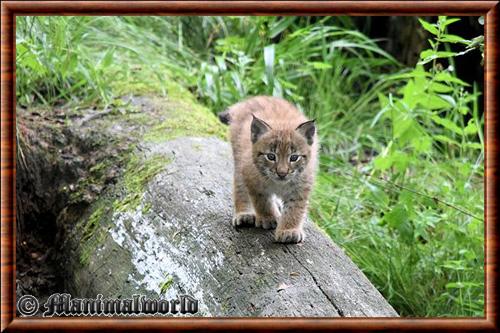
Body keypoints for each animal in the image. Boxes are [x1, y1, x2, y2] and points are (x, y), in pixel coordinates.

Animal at [218, 94, 318, 243]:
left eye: (294, 158)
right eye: (271, 156)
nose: (282, 173)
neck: (279, 183)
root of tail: (259, 97)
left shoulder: (302, 185)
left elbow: (295, 209)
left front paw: (289, 230)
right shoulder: (250, 176)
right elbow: (262, 201)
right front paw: (268, 218)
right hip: (239, 160)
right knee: (240, 188)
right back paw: (244, 214)